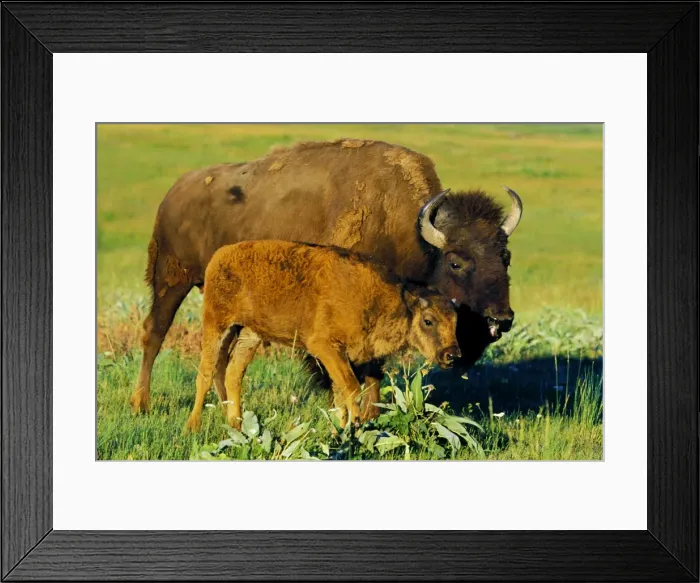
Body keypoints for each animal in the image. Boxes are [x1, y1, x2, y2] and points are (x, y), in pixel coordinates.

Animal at [184, 240, 459, 431]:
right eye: (428, 320)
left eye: (456, 321)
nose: (452, 355)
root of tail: (220, 255)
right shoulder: (325, 347)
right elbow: (351, 389)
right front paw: (353, 428)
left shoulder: (344, 357)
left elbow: (341, 394)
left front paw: (339, 431)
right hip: (217, 325)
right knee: (206, 373)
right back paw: (193, 426)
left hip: (250, 334)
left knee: (233, 373)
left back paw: (237, 425)